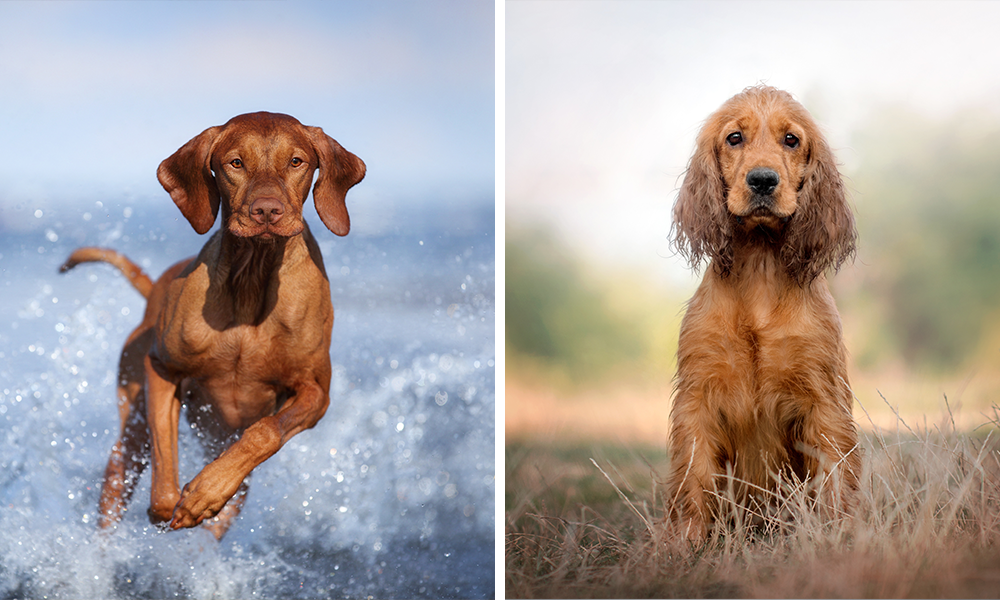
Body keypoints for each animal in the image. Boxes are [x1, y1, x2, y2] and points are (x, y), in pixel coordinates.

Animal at [59, 112, 364, 540]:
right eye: (235, 163)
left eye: (296, 162)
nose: (266, 211)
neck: (253, 280)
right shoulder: (162, 369)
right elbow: (164, 461)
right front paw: (173, 505)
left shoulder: (316, 393)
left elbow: (266, 432)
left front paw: (206, 492)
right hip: (131, 429)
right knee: (121, 475)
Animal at [664, 86, 860, 540]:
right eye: (735, 138)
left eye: (791, 140)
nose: (763, 180)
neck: (760, 265)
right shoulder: (697, 397)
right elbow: (693, 479)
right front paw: (683, 543)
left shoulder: (823, 400)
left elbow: (836, 478)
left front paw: (838, 536)